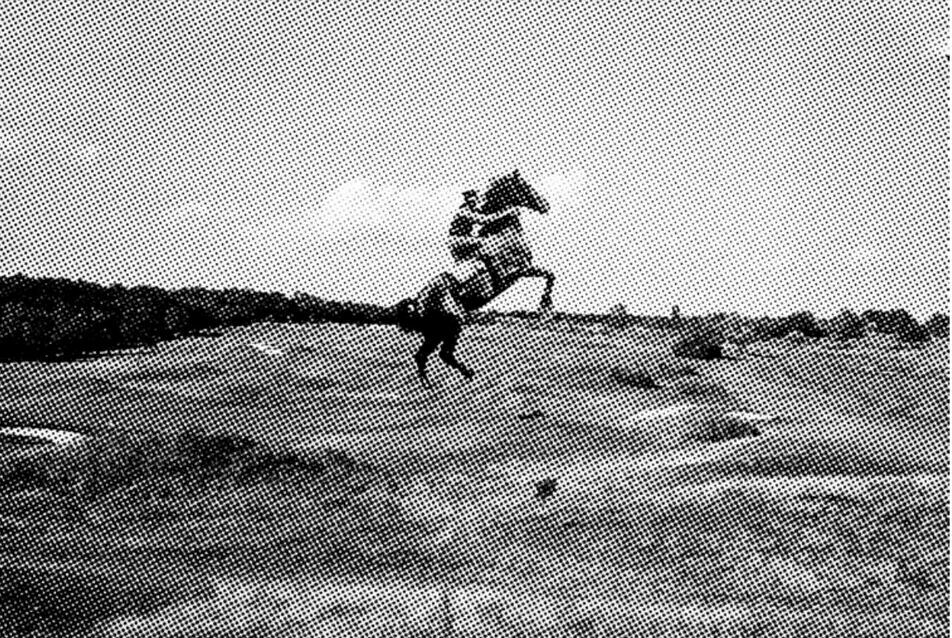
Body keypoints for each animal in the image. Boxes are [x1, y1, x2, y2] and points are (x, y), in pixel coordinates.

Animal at [394, 171, 556, 390]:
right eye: (524, 185)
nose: (545, 205)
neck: (500, 233)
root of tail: (418, 304)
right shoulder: (516, 271)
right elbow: (548, 275)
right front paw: (544, 308)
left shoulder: (522, 270)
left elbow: (549, 274)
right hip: (453, 323)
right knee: (444, 354)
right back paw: (466, 375)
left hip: (436, 331)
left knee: (423, 355)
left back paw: (430, 384)